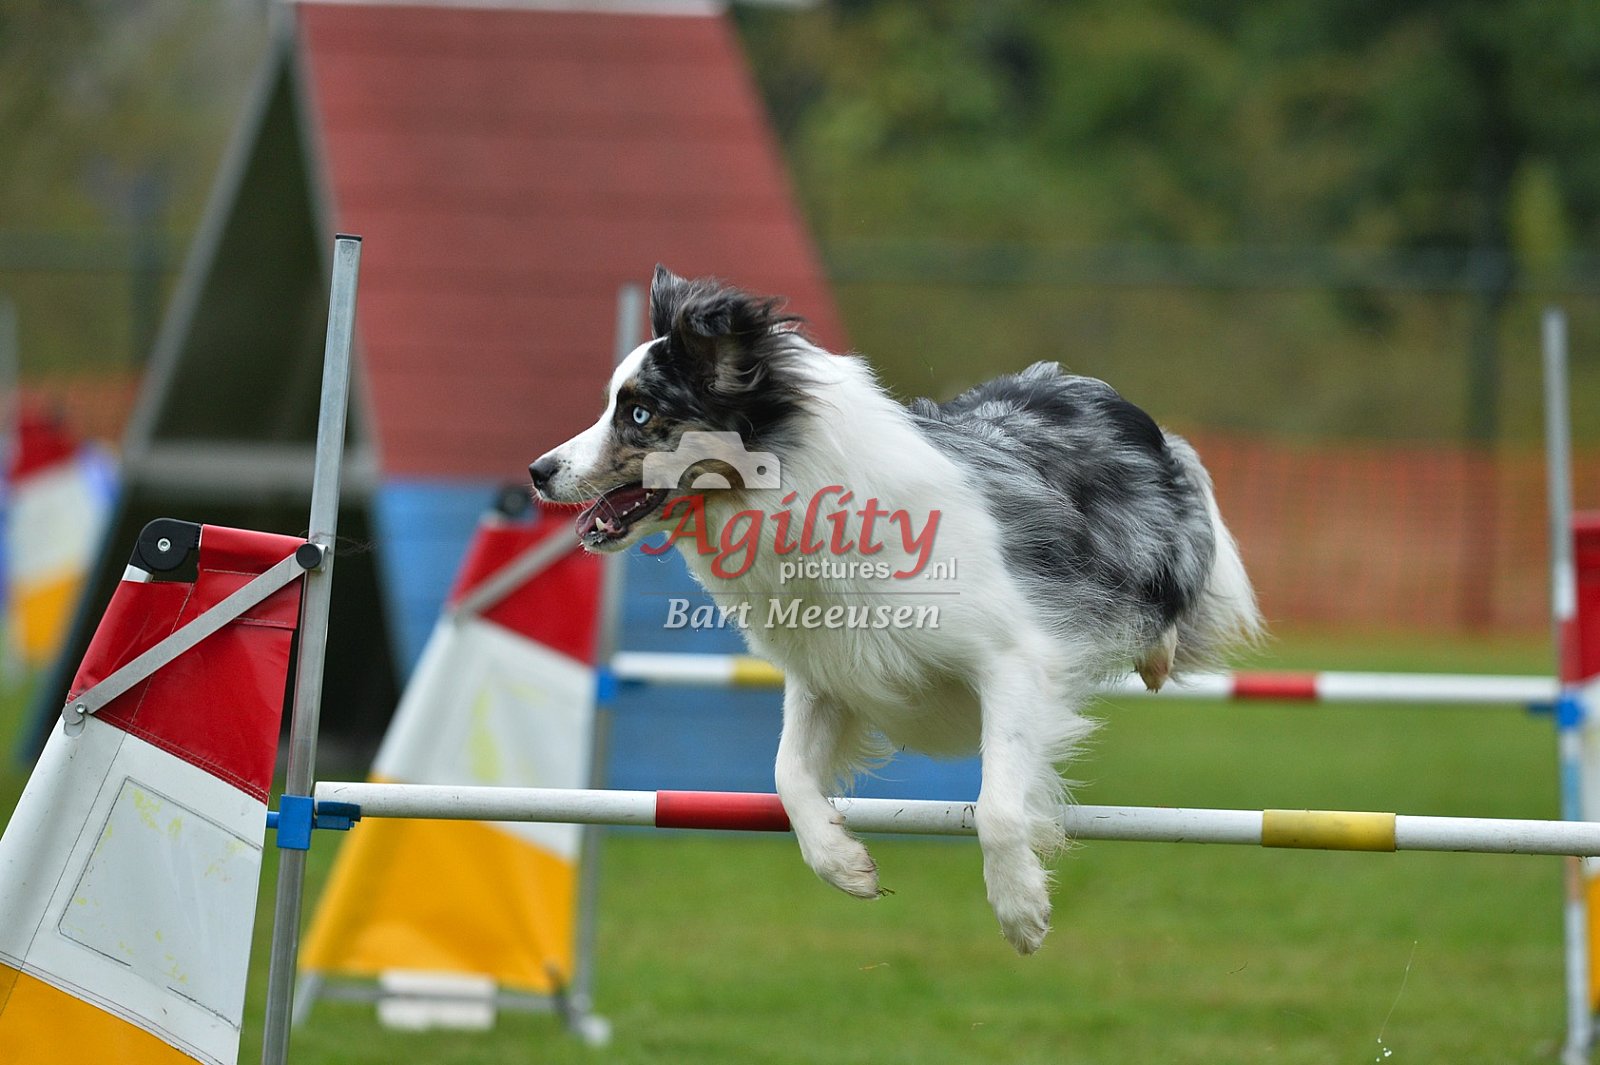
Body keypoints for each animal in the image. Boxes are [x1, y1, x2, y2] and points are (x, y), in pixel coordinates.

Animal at [530, 266, 1262, 954]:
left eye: (640, 414)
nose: (538, 471)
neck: (795, 495)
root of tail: (1092, 386)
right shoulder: (827, 673)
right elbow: (787, 772)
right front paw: (842, 862)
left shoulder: (1014, 660)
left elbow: (998, 803)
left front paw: (1021, 909)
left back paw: (1158, 652)